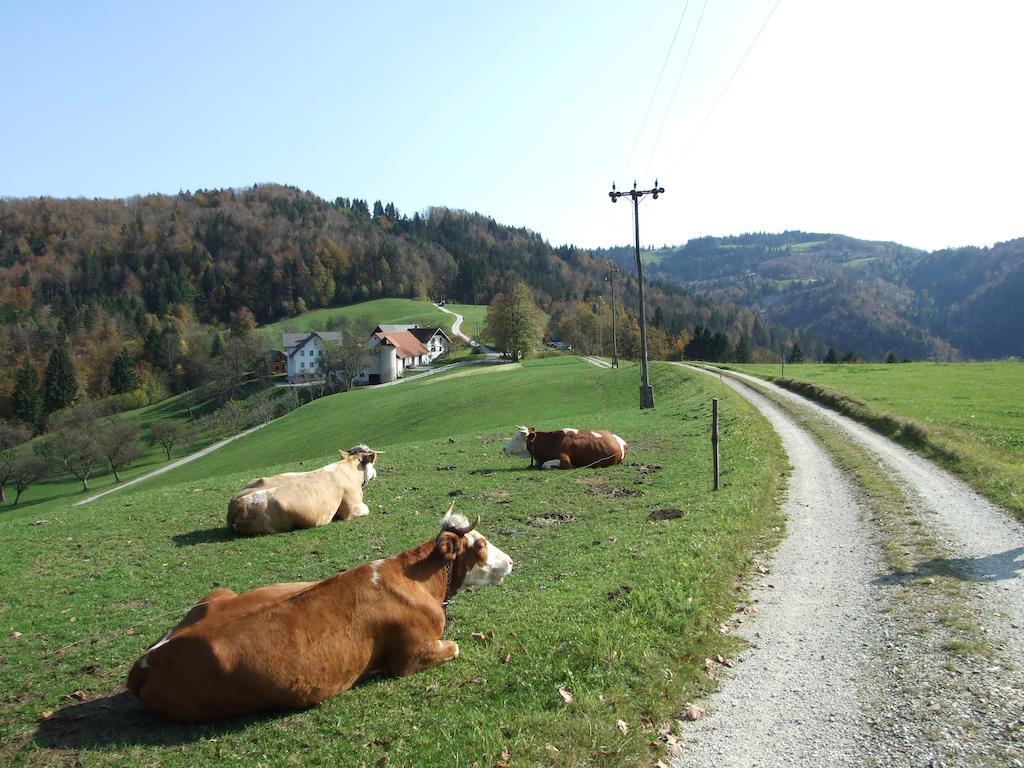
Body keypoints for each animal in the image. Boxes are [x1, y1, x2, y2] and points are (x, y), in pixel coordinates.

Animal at [128, 507, 512, 724]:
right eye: (480, 544)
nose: (510, 561)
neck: (414, 579)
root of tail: (146, 661)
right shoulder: (411, 656)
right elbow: (454, 647)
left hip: (222, 594)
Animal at [226, 444, 378, 536]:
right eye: (373, 463)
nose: (375, 474)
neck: (349, 468)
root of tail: (236, 505)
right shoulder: (352, 509)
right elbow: (366, 509)